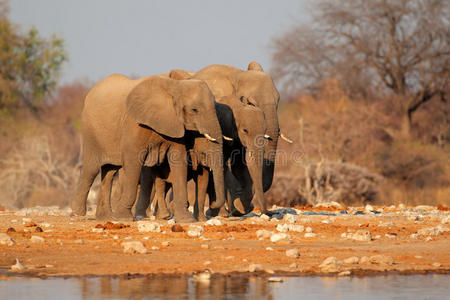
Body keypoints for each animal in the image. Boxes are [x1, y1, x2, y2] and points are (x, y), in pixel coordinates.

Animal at [70, 73, 225, 221]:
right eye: (194, 110)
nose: (212, 205)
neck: (175, 86)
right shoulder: (134, 123)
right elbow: (133, 161)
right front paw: (124, 218)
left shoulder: (176, 125)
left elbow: (178, 161)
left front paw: (186, 220)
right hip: (91, 131)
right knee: (91, 169)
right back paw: (78, 214)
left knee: (110, 172)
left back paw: (106, 217)